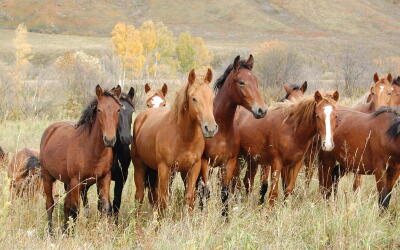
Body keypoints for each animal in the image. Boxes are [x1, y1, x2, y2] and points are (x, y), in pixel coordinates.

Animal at [40, 85, 122, 233]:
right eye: (99, 110)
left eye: (118, 109)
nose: (109, 140)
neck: (92, 150)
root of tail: (51, 129)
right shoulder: (76, 182)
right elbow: (75, 210)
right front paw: (71, 233)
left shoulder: (104, 178)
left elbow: (104, 207)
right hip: (48, 177)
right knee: (50, 204)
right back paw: (50, 232)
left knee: (65, 206)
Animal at [132, 68, 217, 213]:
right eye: (194, 98)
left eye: (212, 98)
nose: (210, 128)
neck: (183, 137)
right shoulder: (164, 168)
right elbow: (164, 199)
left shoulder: (193, 168)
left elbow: (189, 197)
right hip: (139, 166)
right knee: (140, 195)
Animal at [199, 55, 268, 216]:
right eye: (241, 82)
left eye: (256, 82)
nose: (261, 110)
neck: (221, 131)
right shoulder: (206, 163)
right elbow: (206, 191)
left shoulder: (228, 163)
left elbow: (224, 193)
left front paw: (225, 217)